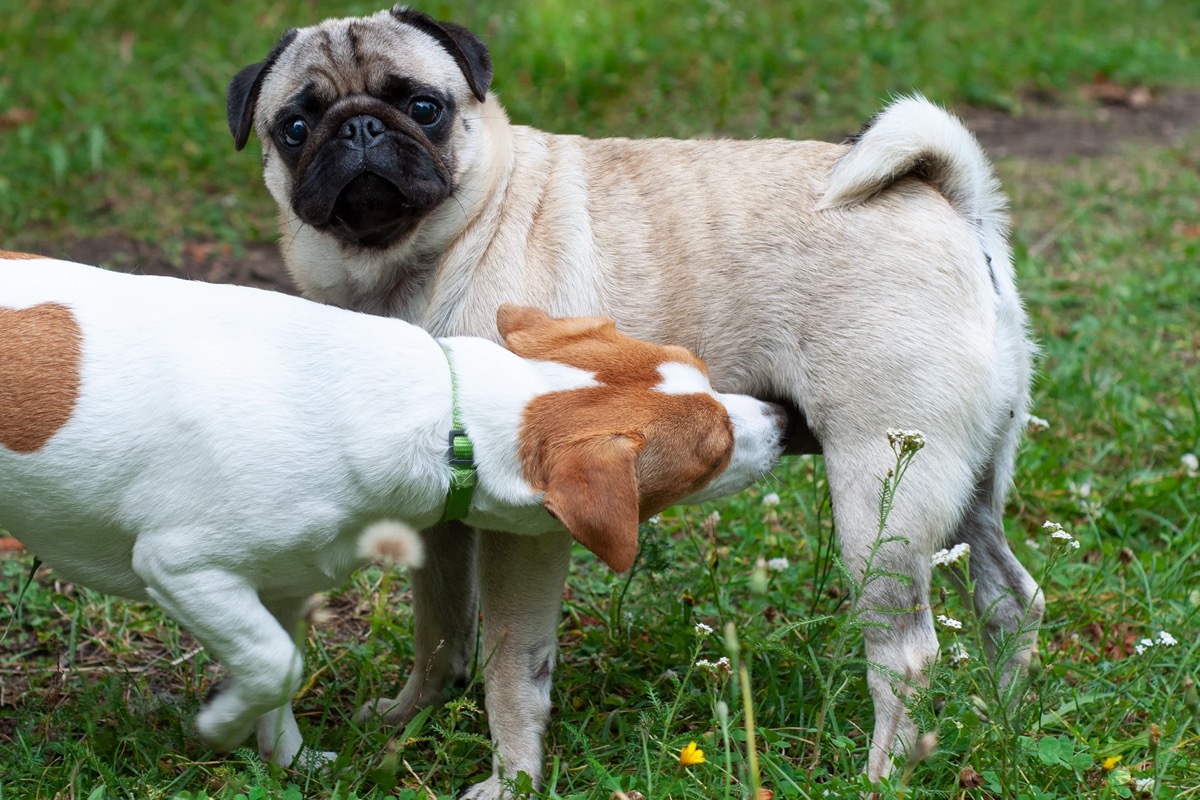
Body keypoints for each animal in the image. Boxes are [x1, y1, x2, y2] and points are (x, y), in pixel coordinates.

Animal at [0, 256, 787, 767]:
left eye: (702, 370)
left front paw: (289, 763)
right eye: (714, 451)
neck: (448, 411)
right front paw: (221, 727)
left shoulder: (279, 584)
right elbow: (273, 662)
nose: (782, 420)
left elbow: (280, 669)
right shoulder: (181, 565)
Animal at [229, 9, 1046, 796]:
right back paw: (1000, 720)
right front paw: (410, 716)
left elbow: (511, 666)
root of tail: (952, 205)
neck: (420, 260)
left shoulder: (527, 533)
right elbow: (439, 629)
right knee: (1011, 599)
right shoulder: (437, 515)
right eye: (295, 126)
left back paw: (882, 774)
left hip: (883, 497)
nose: (360, 128)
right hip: (964, 487)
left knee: (906, 653)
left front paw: (511, 777)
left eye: (423, 108)